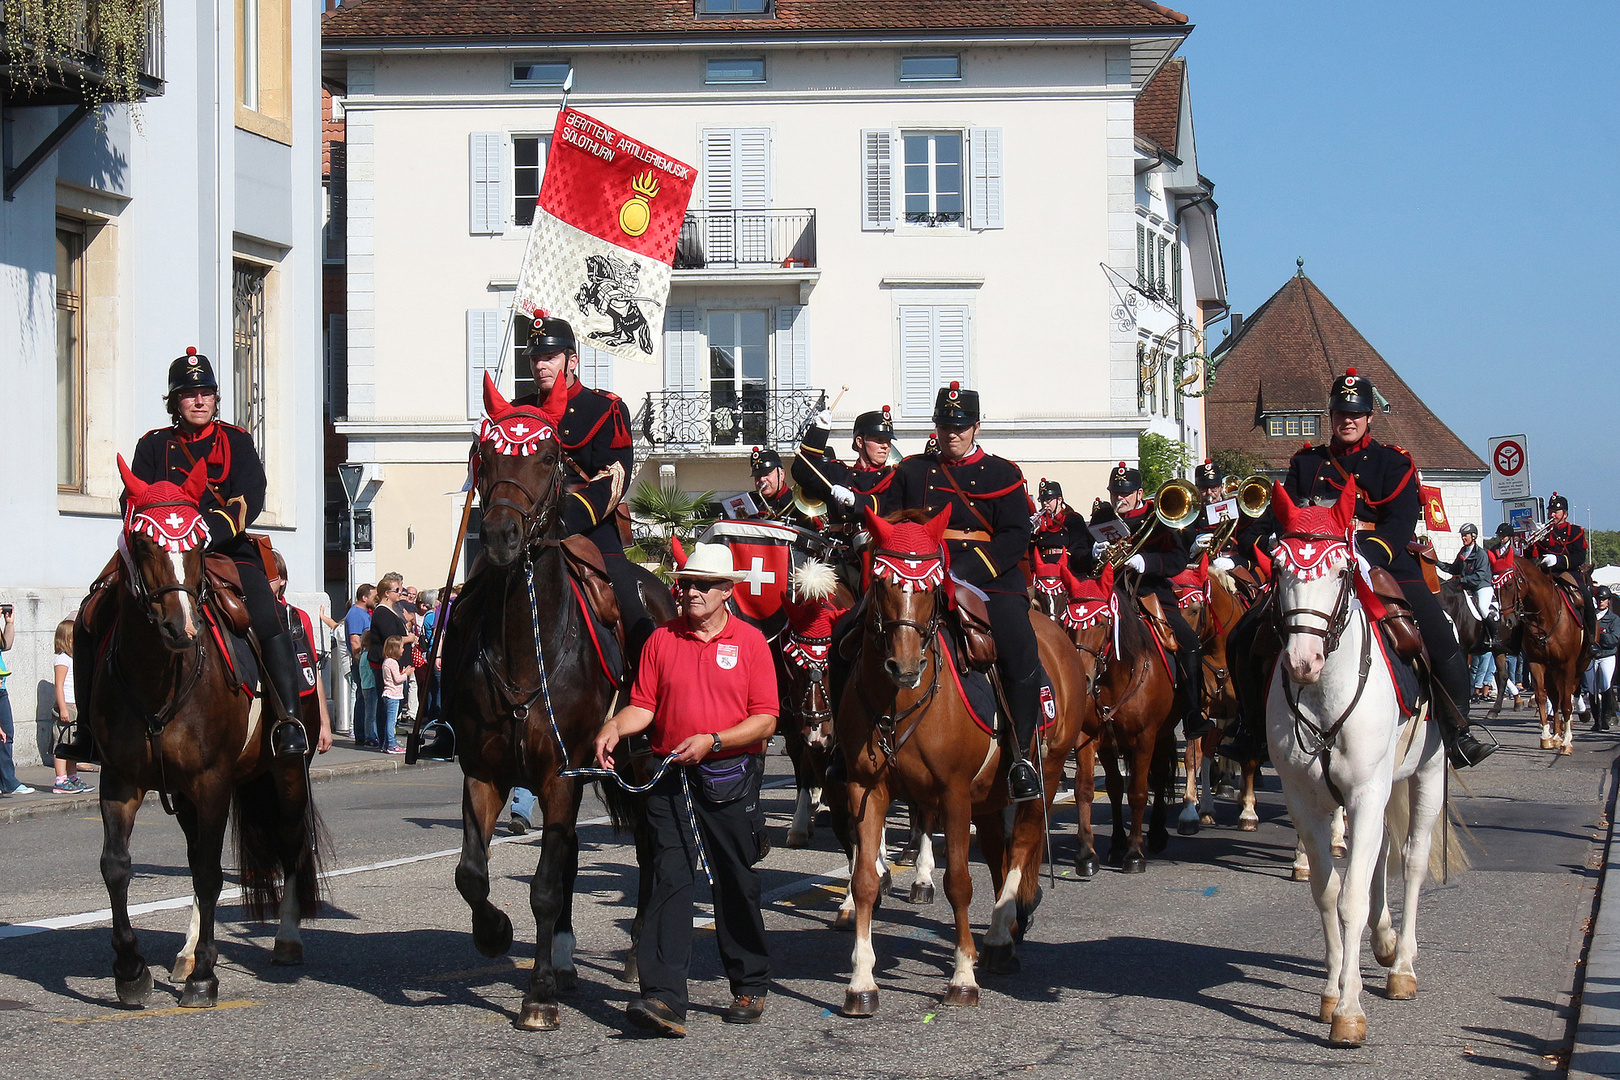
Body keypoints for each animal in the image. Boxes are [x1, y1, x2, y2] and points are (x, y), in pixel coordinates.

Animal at [86, 459, 325, 1010]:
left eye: (197, 542)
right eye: (142, 541)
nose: (182, 628)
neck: (158, 678)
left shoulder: (211, 779)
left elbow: (212, 874)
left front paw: (206, 977)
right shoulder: (121, 781)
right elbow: (117, 866)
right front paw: (131, 971)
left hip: (285, 771)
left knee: (290, 843)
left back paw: (286, 940)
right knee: (199, 858)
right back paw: (187, 953)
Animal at [437, 375, 670, 1036]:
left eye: (547, 458)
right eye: (485, 455)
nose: (498, 536)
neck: (522, 644)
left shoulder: (559, 774)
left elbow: (543, 885)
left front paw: (537, 994)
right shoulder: (485, 771)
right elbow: (473, 873)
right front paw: (495, 934)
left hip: (641, 765)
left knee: (648, 851)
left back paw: (637, 957)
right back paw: (565, 960)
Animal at [835, 508, 1088, 1016]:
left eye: (932, 587)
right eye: (881, 580)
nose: (904, 667)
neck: (899, 702)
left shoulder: (951, 793)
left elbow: (957, 882)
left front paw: (963, 977)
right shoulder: (866, 788)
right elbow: (866, 880)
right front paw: (861, 981)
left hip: (1045, 774)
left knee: (1022, 846)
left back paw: (996, 938)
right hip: (987, 795)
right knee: (996, 851)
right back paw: (1007, 934)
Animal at [1263, 485, 1458, 1049]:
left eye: (1339, 570)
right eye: (1278, 567)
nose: (1302, 662)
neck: (1323, 693)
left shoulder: (1367, 792)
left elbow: (1351, 897)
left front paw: (1349, 1011)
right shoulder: (1306, 800)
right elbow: (1328, 893)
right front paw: (1332, 992)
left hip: (1426, 774)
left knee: (1411, 860)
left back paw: (1403, 967)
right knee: (1381, 857)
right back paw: (1386, 941)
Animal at [1509, 553, 1587, 757]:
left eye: (1509, 584)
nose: (1508, 619)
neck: (1544, 617)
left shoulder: (1568, 665)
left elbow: (1567, 701)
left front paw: (1567, 741)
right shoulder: (1537, 663)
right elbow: (1542, 697)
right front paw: (1547, 736)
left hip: (1578, 665)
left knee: (1567, 694)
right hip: (1553, 669)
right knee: (1555, 696)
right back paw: (1557, 734)